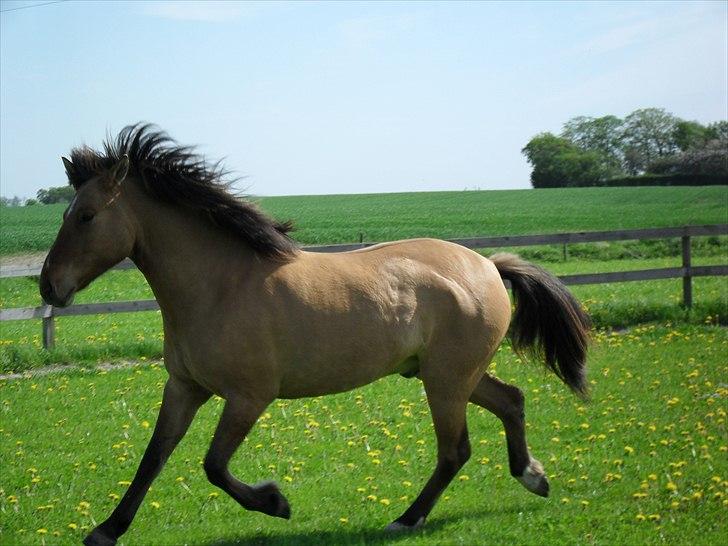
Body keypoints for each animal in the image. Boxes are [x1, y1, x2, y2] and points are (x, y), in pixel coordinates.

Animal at [38, 124, 592, 544]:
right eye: (66, 213)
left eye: (85, 215)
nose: (49, 286)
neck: (219, 285)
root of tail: (488, 266)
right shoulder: (184, 387)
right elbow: (154, 457)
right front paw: (106, 531)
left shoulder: (249, 396)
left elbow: (213, 465)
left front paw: (275, 502)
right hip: (449, 374)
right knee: (511, 401)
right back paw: (532, 477)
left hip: (446, 380)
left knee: (455, 450)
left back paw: (405, 519)